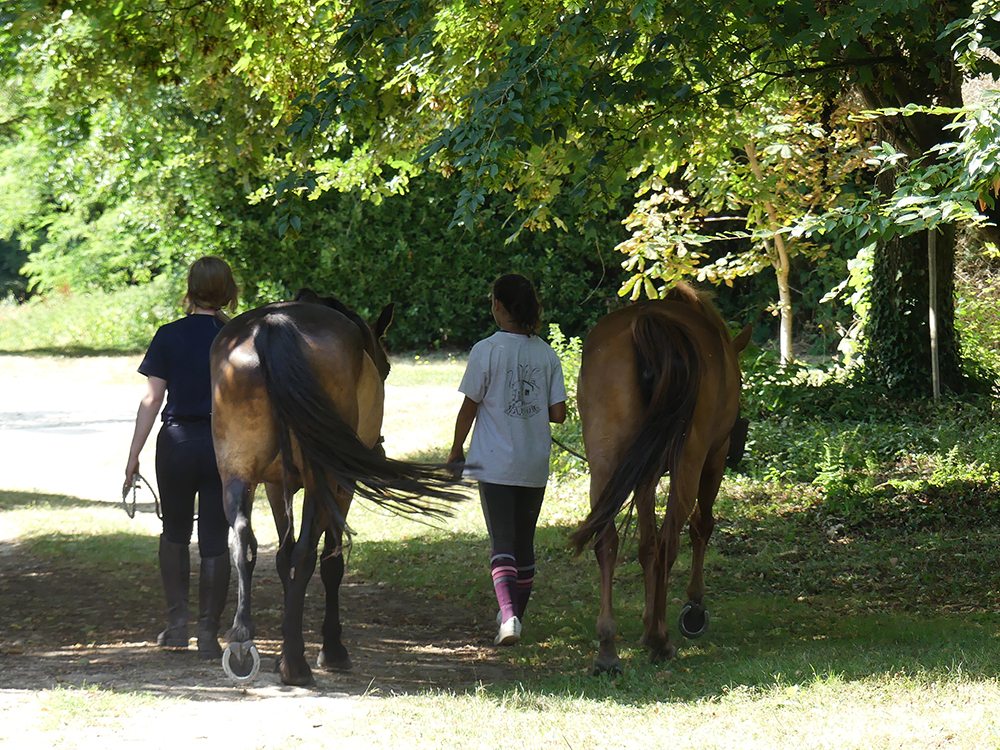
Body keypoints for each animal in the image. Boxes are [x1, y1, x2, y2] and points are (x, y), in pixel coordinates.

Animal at [210, 290, 464, 688]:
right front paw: (330, 649)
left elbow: (281, 557)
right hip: (322, 481)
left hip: (237, 475)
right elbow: (330, 562)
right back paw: (295, 665)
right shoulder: (340, 488)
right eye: (385, 369)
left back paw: (241, 641)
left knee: (243, 542)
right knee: (305, 554)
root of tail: (271, 325)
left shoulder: (274, 485)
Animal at [572, 284, 752, 680]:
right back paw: (660, 639)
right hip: (691, 460)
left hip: (606, 463)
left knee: (607, 540)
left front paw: (643, 624)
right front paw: (692, 607)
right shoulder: (714, 458)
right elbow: (700, 526)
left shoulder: (645, 473)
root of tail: (648, 322)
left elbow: (645, 545)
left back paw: (608, 648)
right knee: (673, 537)